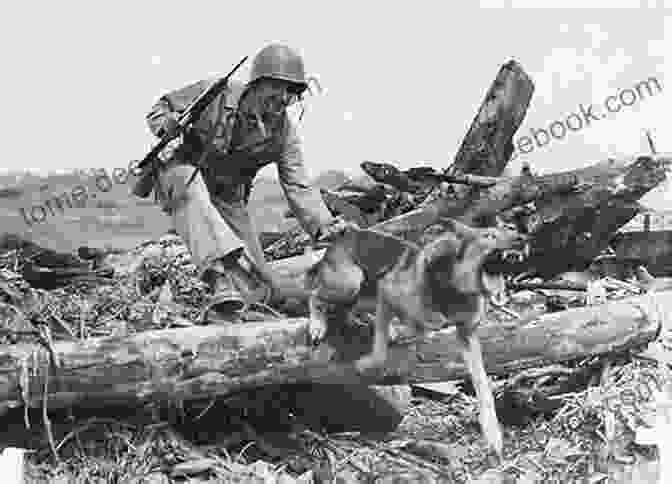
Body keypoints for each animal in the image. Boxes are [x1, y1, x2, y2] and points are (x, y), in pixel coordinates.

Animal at [304, 219, 532, 458]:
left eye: (510, 229)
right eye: (489, 235)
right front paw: (368, 364)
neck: (454, 286)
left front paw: (493, 436)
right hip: (349, 282)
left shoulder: (467, 333)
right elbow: (381, 352)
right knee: (314, 294)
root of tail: (338, 241)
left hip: (360, 291)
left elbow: (482, 386)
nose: (522, 238)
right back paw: (318, 325)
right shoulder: (387, 290)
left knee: (348, 308)